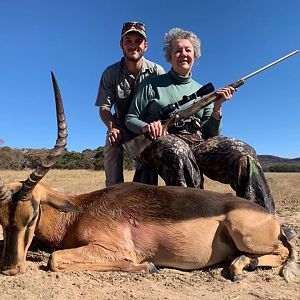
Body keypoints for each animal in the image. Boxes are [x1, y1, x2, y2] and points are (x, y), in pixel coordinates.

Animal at [0, 73, 298, 282]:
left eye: (32, 216)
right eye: (2, 220)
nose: (11, 268)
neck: (80, 211)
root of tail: (272, 219)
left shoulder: (111, 247)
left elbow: (55, 259)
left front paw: (148, 266)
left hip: (247, 235)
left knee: (283, 251)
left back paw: (238, 268)